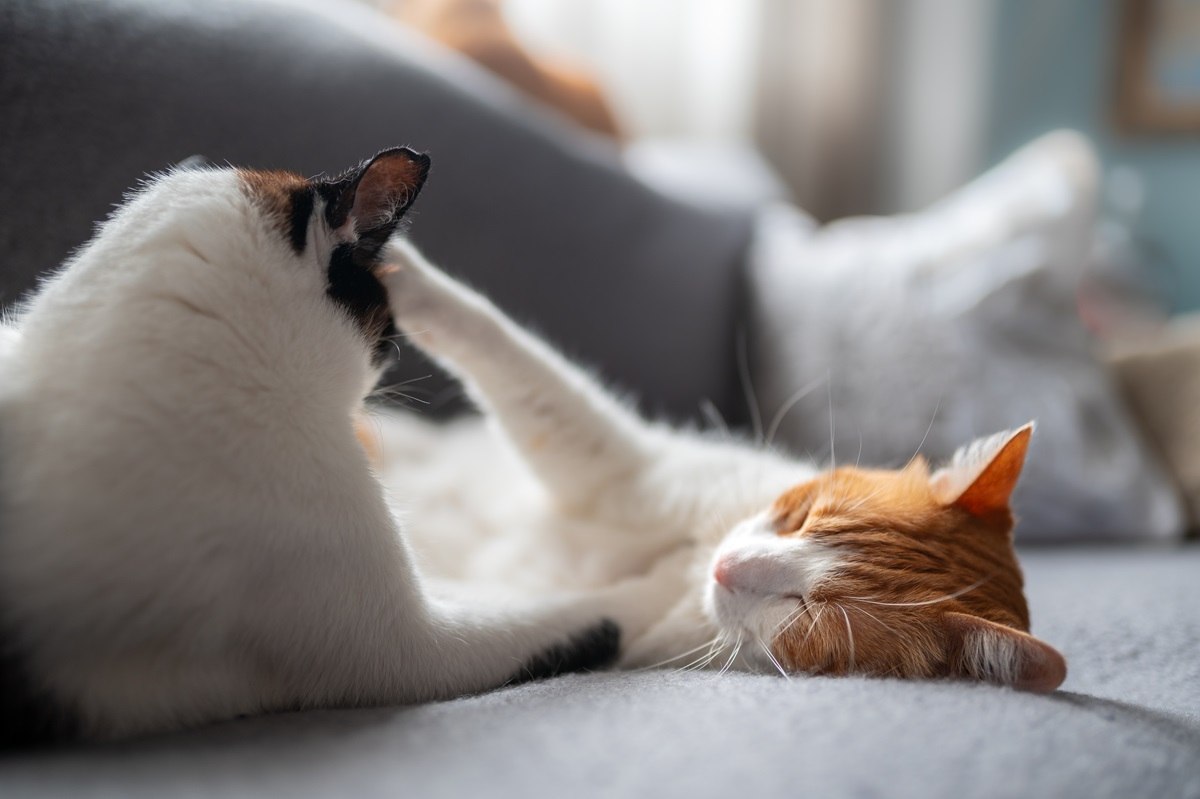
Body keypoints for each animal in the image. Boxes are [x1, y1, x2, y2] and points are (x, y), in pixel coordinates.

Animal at [376, 241, 1070, 691]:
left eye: (807, 611)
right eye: (801, 516)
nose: (726, 566)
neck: (692, 548)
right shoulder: (633, 467)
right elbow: (516, 361)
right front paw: (400, 269)